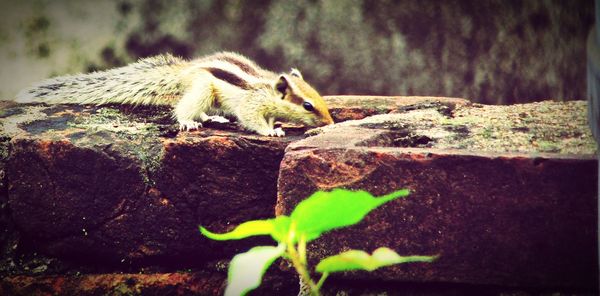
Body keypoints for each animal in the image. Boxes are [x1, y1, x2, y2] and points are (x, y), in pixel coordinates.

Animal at [15, 51, 332, 136]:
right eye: (307, 105)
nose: (330, 123)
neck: (268, 90)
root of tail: (186, 70)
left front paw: (276, 124)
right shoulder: (251, 104)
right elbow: (252, 120)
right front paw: (272, 131)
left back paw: (214, 119)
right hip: (202, 89)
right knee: (183, 109)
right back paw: (190, 122)